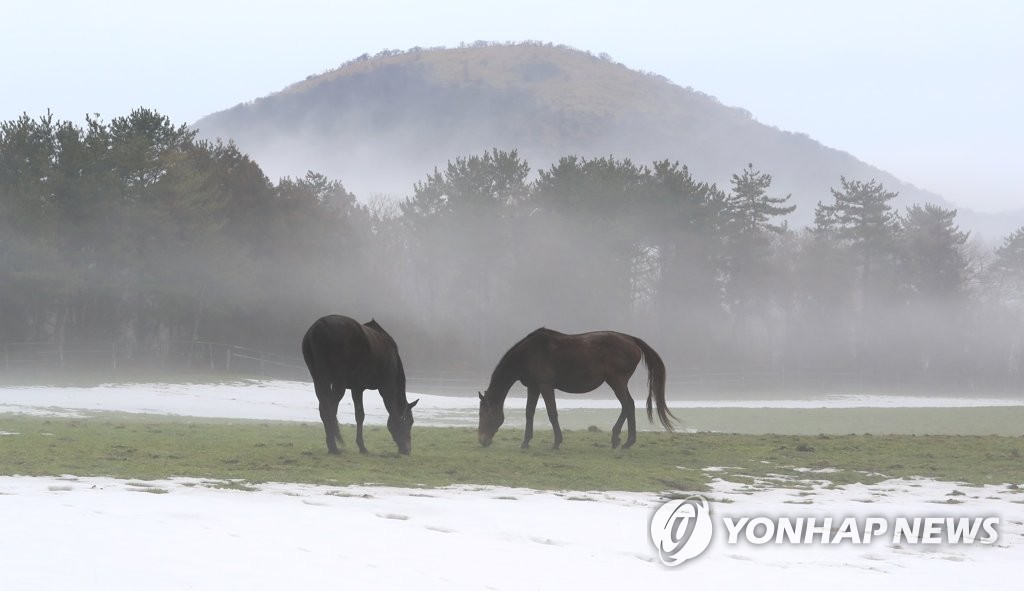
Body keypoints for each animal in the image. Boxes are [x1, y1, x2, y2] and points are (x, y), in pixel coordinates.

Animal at [301, 315, 417, 454]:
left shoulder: (357, 388)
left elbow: (359, 415)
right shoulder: (386, 389)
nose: (407, 450)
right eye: (410, 422)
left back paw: (331, 445)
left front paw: (361, 446)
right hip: (338, 382)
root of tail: (319, 327)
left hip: (320, 379)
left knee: (323, 408)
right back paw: (334, 447)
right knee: (330, 409)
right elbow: (390, 412)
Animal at [477, 327, 675, 446]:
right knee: (630, 405)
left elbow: (552, 413)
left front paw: (557, 442)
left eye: (484, 414)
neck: (529, 354)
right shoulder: (533, 387)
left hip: (617, 381)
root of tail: (631, 340)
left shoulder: (545, 386)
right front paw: (525, 442)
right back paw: (624, 440)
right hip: (617, 382)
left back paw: (621, 439)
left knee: (627, 405)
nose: (482, 440)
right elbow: (529, 413)